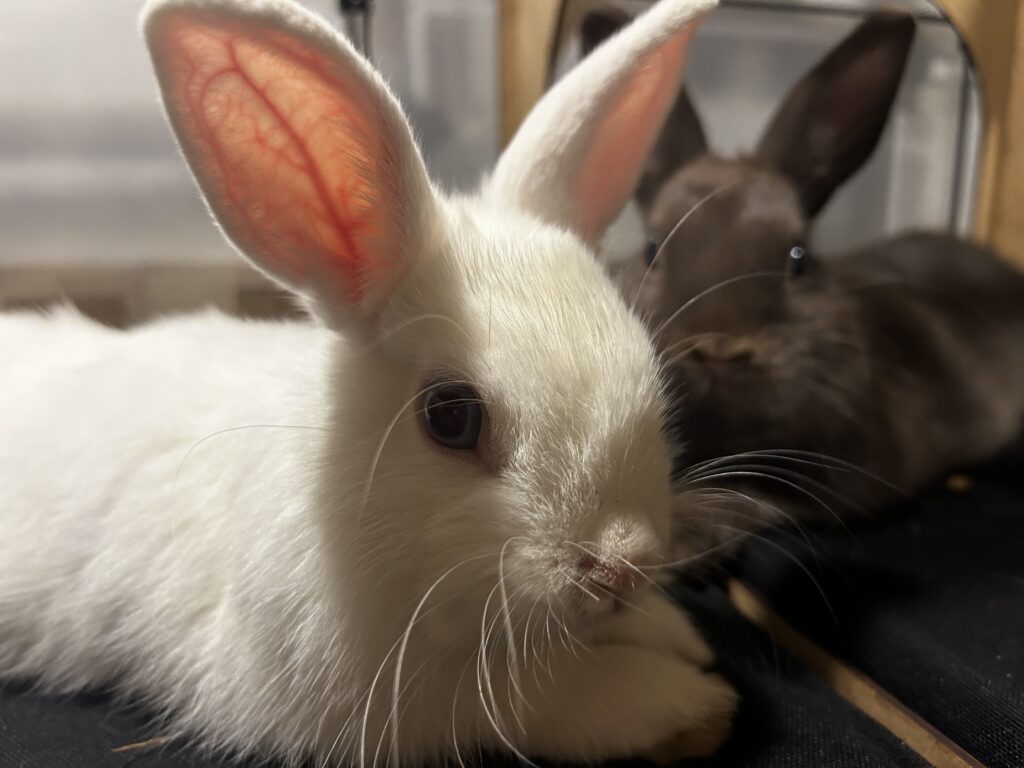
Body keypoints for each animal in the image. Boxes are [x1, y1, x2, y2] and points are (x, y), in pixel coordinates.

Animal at [0, 0, 738, 765]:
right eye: (451, 417)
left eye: (647, 365)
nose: (624, 565)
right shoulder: (409, 699)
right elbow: (556, 693)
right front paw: (689, 694)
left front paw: (676, 632)